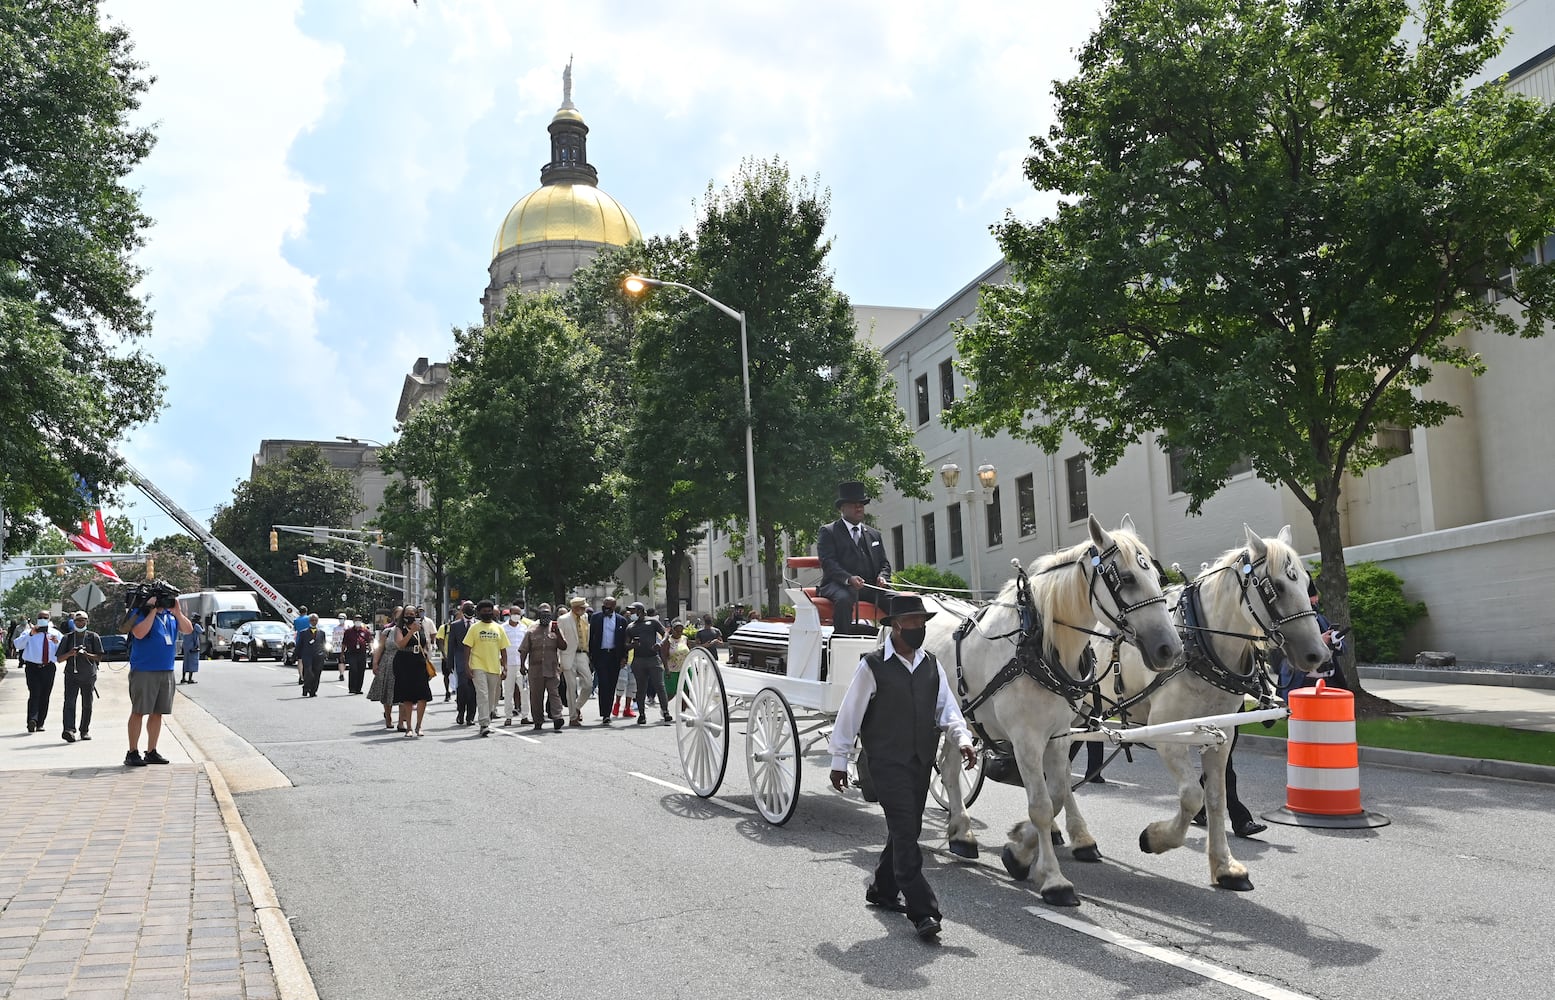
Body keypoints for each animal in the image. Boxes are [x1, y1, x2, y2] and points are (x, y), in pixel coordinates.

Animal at [920, 516, 1175, 908]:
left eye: (1158, 577)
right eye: (1127, 578)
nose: (1169, 648)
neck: (1035, 646)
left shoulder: (1057, 736)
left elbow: (1056, 794)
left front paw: (1020, 852)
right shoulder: (1025, 740)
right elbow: (1040, 804)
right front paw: (1054, 880)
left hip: (959, 720)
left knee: (948, 770)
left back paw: (961, 834)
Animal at [1076, 525, 1331, 889]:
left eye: (1307, 582)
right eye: (1277, 587)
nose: (1319, 655)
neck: (1199, 643)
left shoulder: (1220, 733)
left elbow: (1215, 796)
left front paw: (1225, 866)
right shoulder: (1167, 735)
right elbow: (1191, 795)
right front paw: (1154, 838)